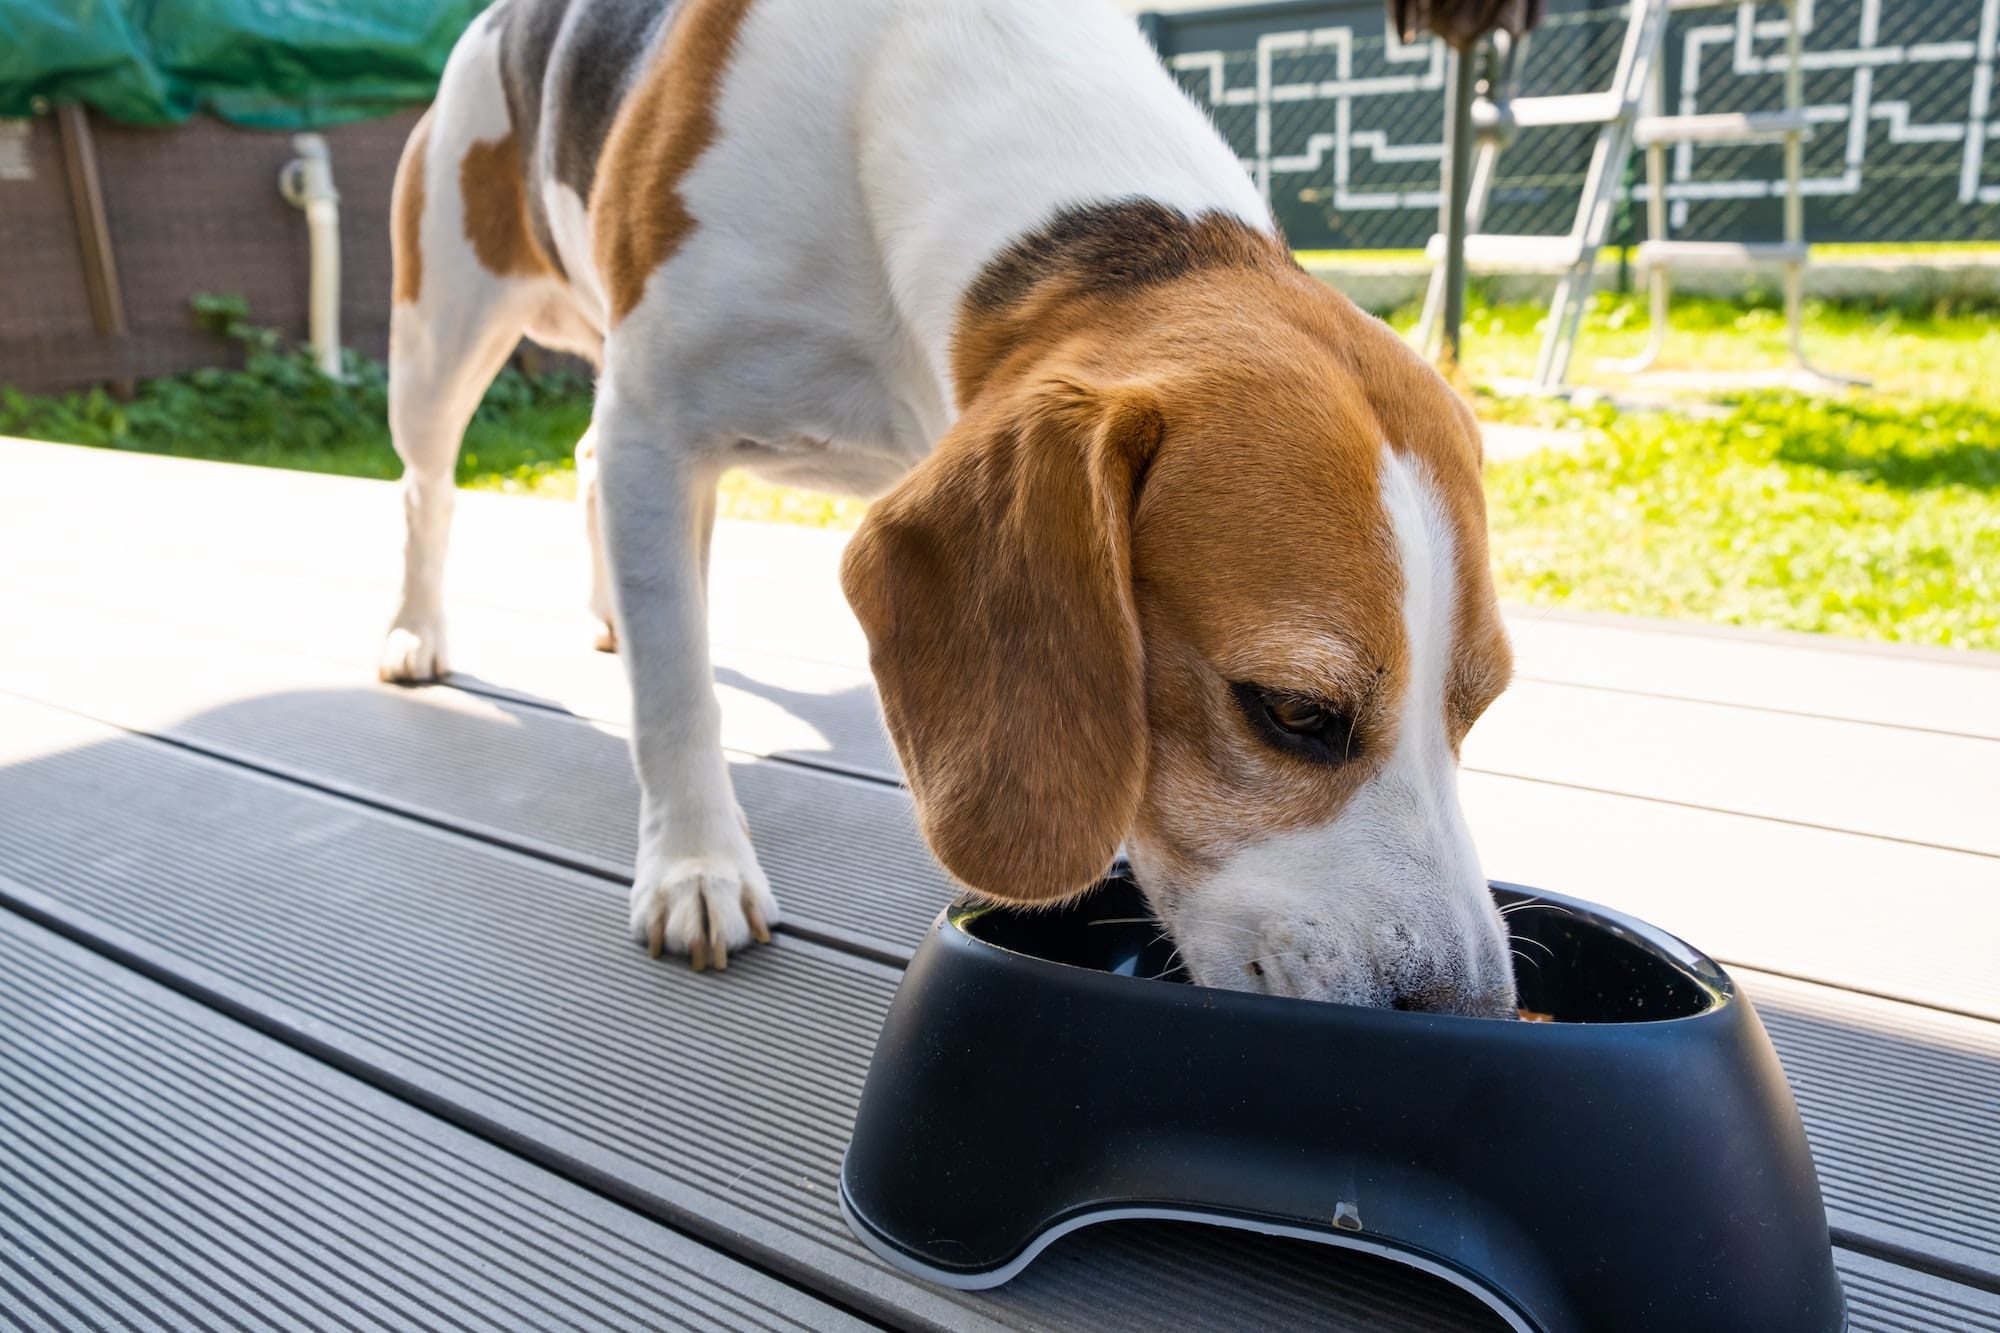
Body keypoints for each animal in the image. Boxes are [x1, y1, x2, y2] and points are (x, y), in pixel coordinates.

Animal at [382, 0, 1512, 1008]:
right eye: (1292, 713)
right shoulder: (654, 425)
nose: (1469, 1009)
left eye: (1480, 706)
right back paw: (414, 632)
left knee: (578, 463)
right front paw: (695, 862)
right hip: (437, 345)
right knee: (428, 490)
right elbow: (675, 695)